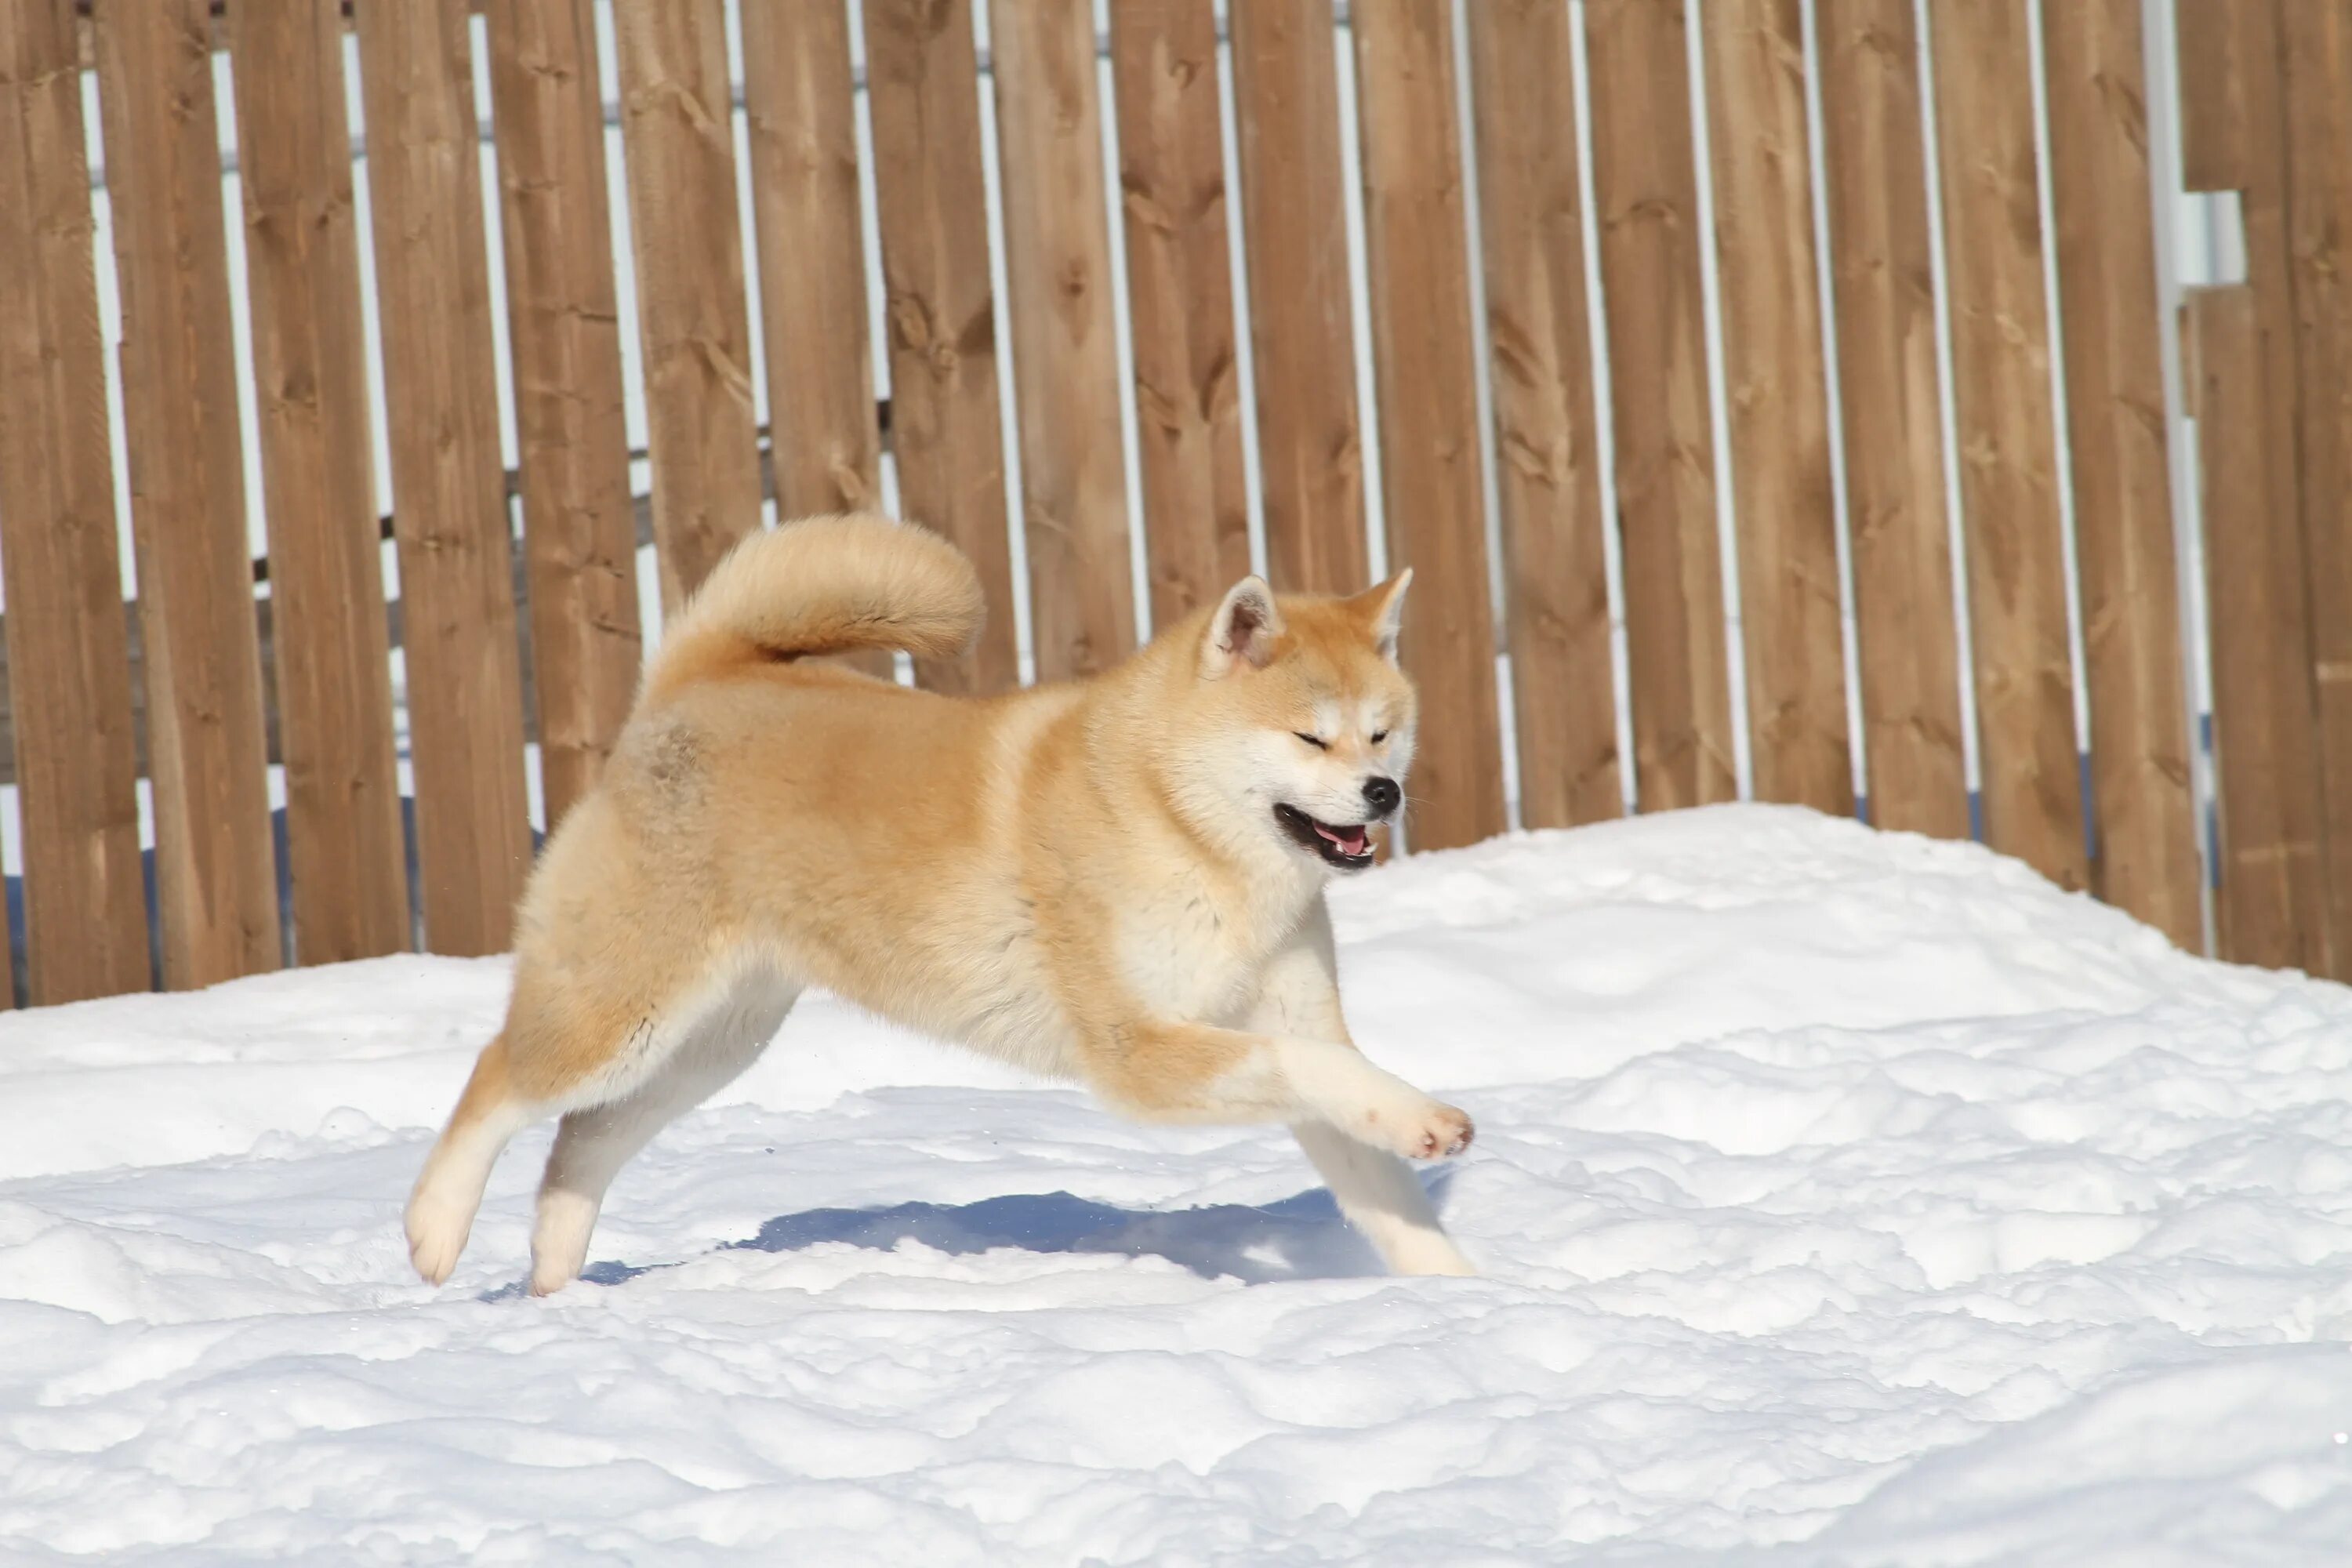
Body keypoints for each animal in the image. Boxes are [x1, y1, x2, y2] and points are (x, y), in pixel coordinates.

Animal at [405, 517, 1468, 1298]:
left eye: (1383, 731)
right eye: (1310, 737)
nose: (1383, 793)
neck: (1176, 825)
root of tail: (694, 678)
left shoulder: (1286, 1023)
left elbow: (1372, 1155)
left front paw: (1462, 1288)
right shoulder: (1139, 1050)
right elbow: (1312, 1068)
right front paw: (1430, 1117)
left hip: (710, 1045)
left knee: (581, 1141)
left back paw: (555, 1276)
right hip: (623, 1013)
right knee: (497, 1078)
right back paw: (433, 1230)